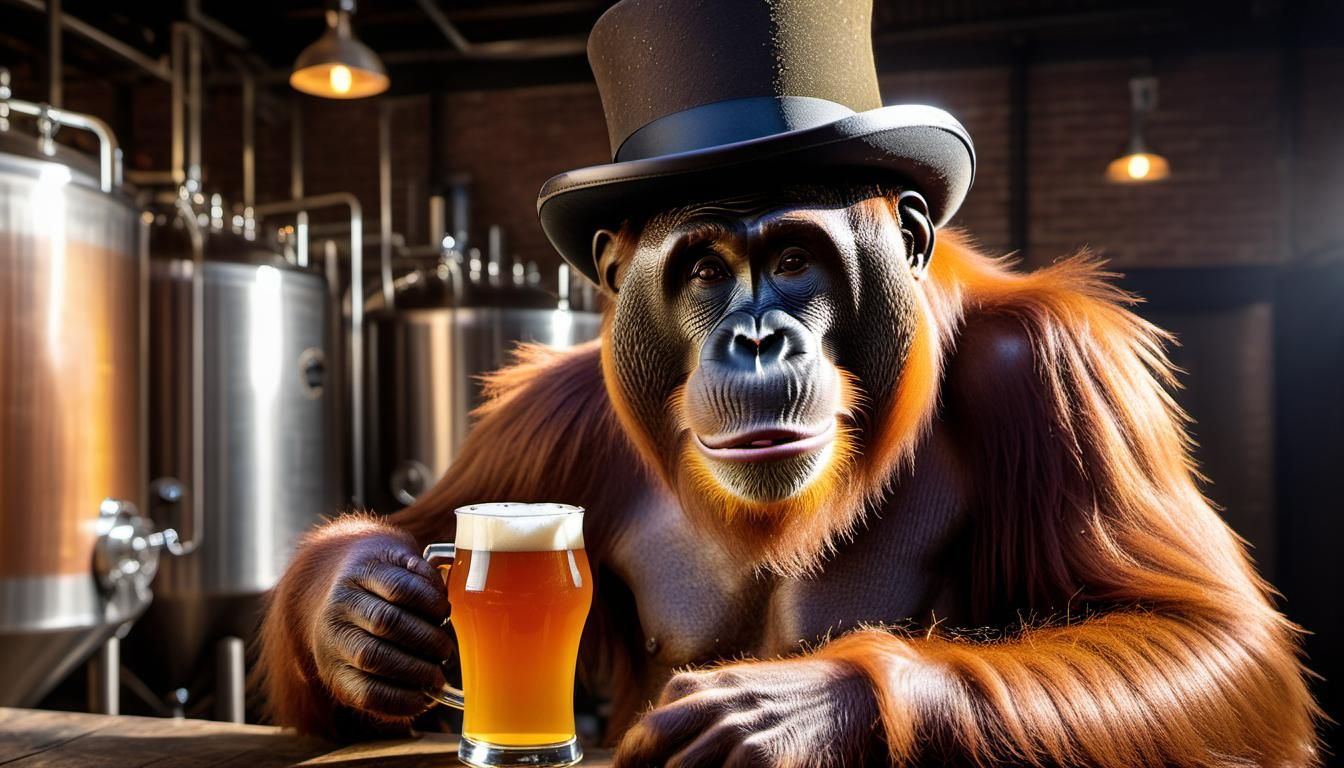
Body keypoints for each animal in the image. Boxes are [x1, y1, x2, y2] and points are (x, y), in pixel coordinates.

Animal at [257, 182, 1320, 766]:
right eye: (702, 271)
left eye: (798, 258)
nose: (758, 336)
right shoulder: (554, 410)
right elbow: (428, 522)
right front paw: (363, 614)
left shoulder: (1058, 370)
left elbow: (1207, 636)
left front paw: (797, 710)